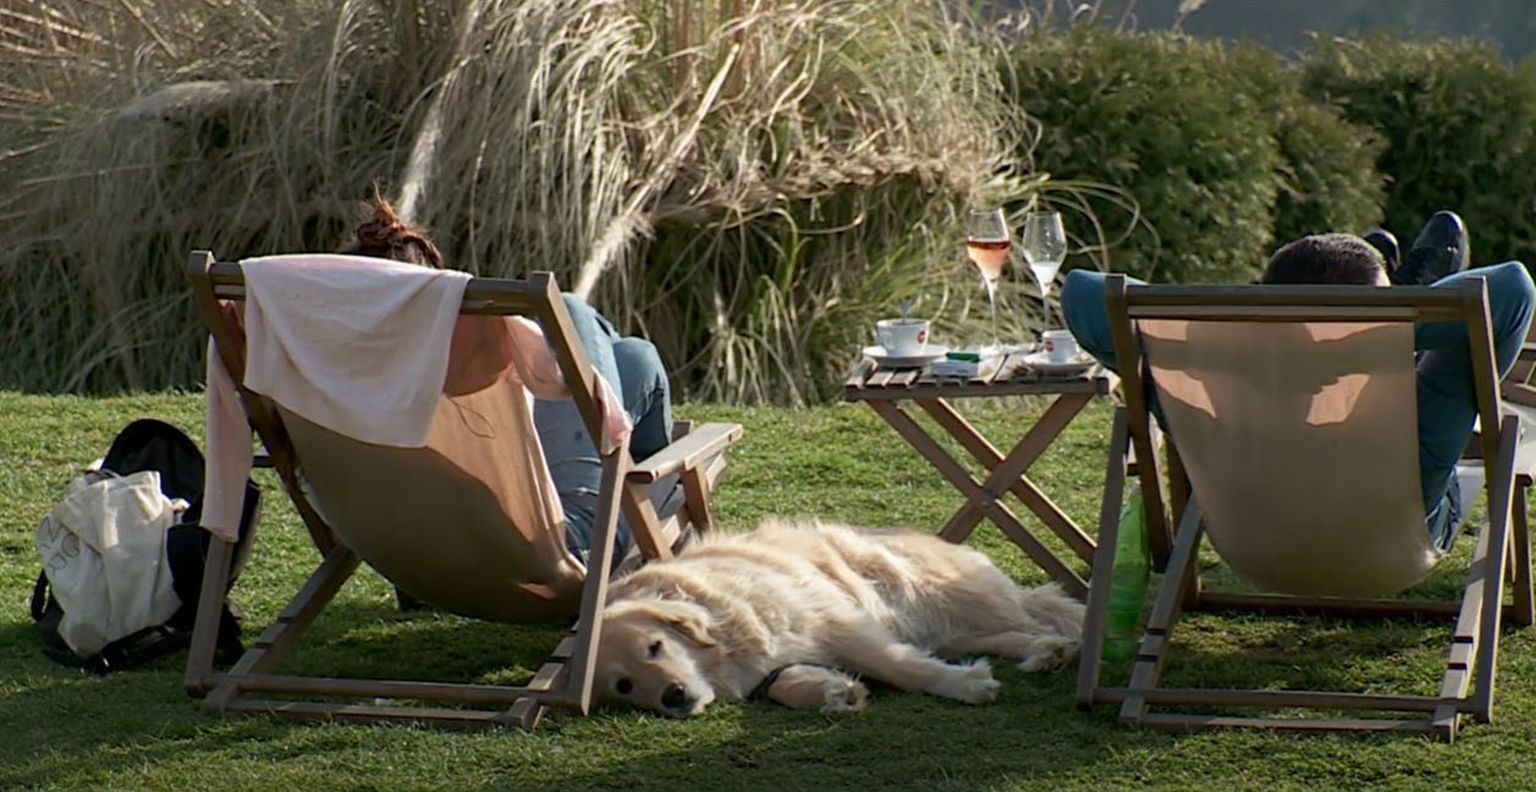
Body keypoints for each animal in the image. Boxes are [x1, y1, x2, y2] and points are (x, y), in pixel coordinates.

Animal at [593, 518, 1084, 716]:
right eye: (624, 686)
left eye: (655, 646)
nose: (673, 697)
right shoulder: (774, 665)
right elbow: (787, 684)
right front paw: (835, 693)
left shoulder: (837, 623)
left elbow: (900, 667)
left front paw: (964, 686)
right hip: (949, 628)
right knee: (1013, 634)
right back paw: (1045, 653)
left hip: (940, 594)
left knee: (1037, 617)